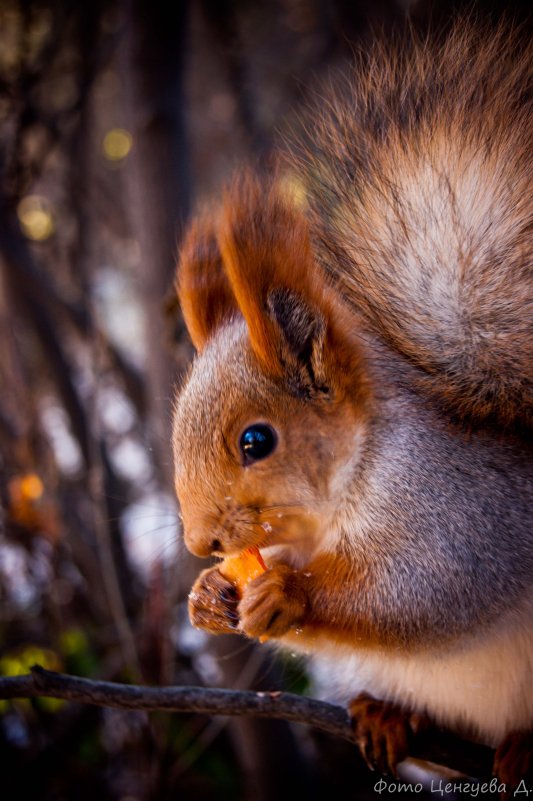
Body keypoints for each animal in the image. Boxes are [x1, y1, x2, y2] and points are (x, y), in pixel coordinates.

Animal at [171, 21, 532, 784]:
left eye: (256, 441)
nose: (198, 544)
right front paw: (208, 595)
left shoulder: (462, 511)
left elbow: (428, 589)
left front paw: (291, 594)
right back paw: (385, 713)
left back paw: (524, 744)